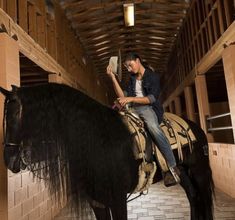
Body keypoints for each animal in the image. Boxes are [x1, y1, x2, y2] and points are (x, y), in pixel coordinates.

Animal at [0, 83, 214, 219]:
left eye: (16, 115)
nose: (9, 160)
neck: (99, 141)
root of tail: (195, 127)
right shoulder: (97, 202)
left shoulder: (118, 199)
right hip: (184, 173)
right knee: (193, 197)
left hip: (199, 172)